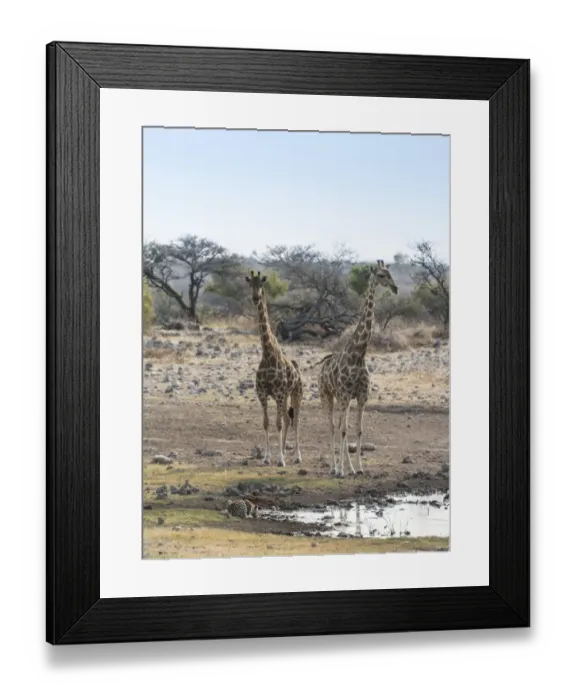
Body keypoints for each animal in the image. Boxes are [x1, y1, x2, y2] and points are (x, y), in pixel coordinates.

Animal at [245, 270, 303, 467]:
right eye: (250, 284)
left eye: (261, 285)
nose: (255, 298)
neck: (268, 354)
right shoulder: (263, 393)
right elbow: (267, 422)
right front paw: (267, 457)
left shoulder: (277, 393)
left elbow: (277, 423)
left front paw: (280, 460)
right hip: (284, 396)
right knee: (286, 418)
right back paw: (284, 451)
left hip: (296, 393)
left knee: (295, 420)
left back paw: (297, 456)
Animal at [317, 260, 398, 477]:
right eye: (380, 275)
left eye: (390, 273)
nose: (395, 288)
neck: (358, 355)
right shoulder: (345, 395)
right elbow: (343, 429)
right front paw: (340, 470)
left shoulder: (361, 397)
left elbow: (357, 430)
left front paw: (359, 468)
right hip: (327, 395)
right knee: (332, 426)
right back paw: (333, 468)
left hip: (341, 399)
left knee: (339, 425)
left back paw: (349, 468)